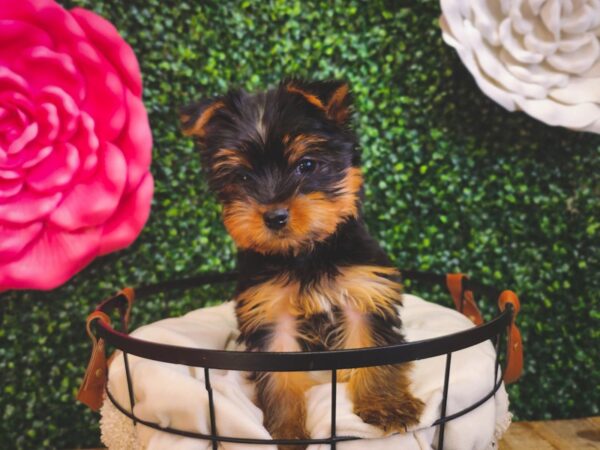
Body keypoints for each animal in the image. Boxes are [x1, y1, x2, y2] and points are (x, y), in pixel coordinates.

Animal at [180, 80, 424, 446]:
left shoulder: (363, 291)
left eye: (306, 165)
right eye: (243, 177)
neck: (304, 255)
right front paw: (287, 433)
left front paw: (385, 406)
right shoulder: (270, 311)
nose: (274, 216)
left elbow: (373, 348)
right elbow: (280, 379)